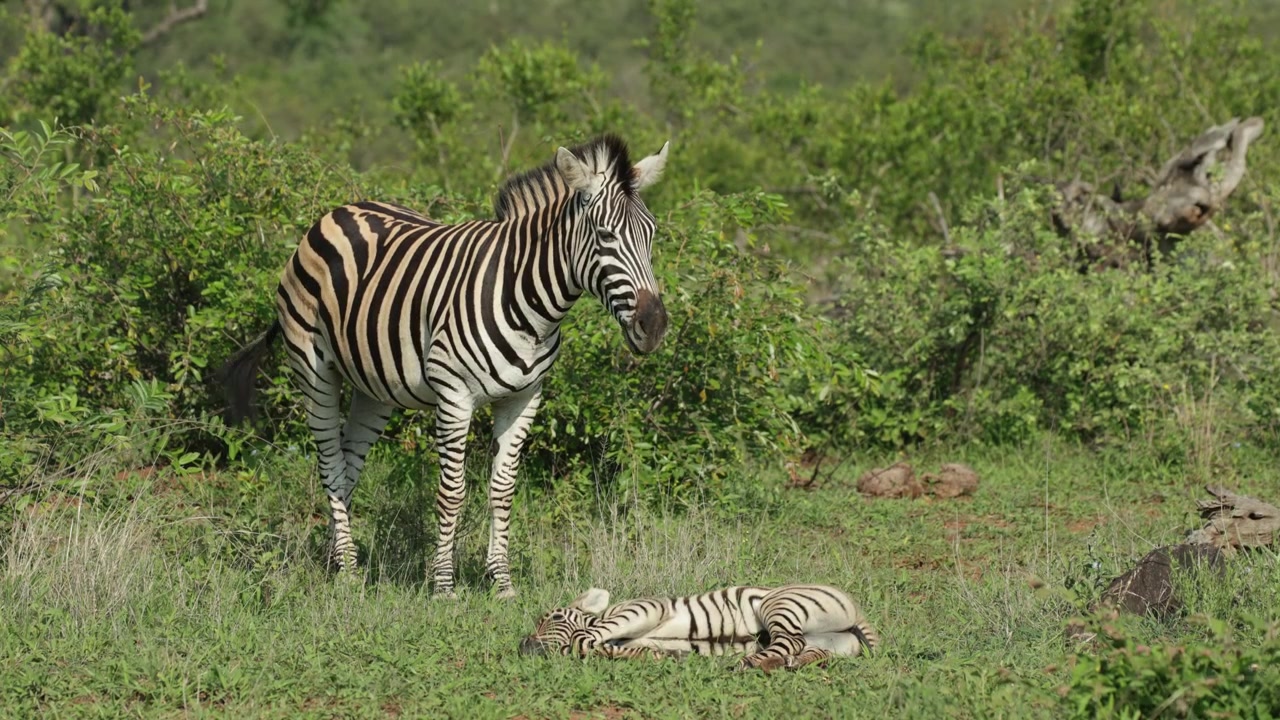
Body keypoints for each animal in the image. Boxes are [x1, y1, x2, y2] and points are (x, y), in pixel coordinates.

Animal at [217, 134, 672, 599]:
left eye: (652, 234)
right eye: (605, 235)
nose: (654, 326)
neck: (530, 303)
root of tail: (335, 212)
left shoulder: (524, 398)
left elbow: (502, 490)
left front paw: (501, 582)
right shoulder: (454, 396)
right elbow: (452, 493)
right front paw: (444, 586)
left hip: (374, 388)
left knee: (347, 464)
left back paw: (340, 562)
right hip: (313, 370)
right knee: (329, 461)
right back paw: (347, 570)